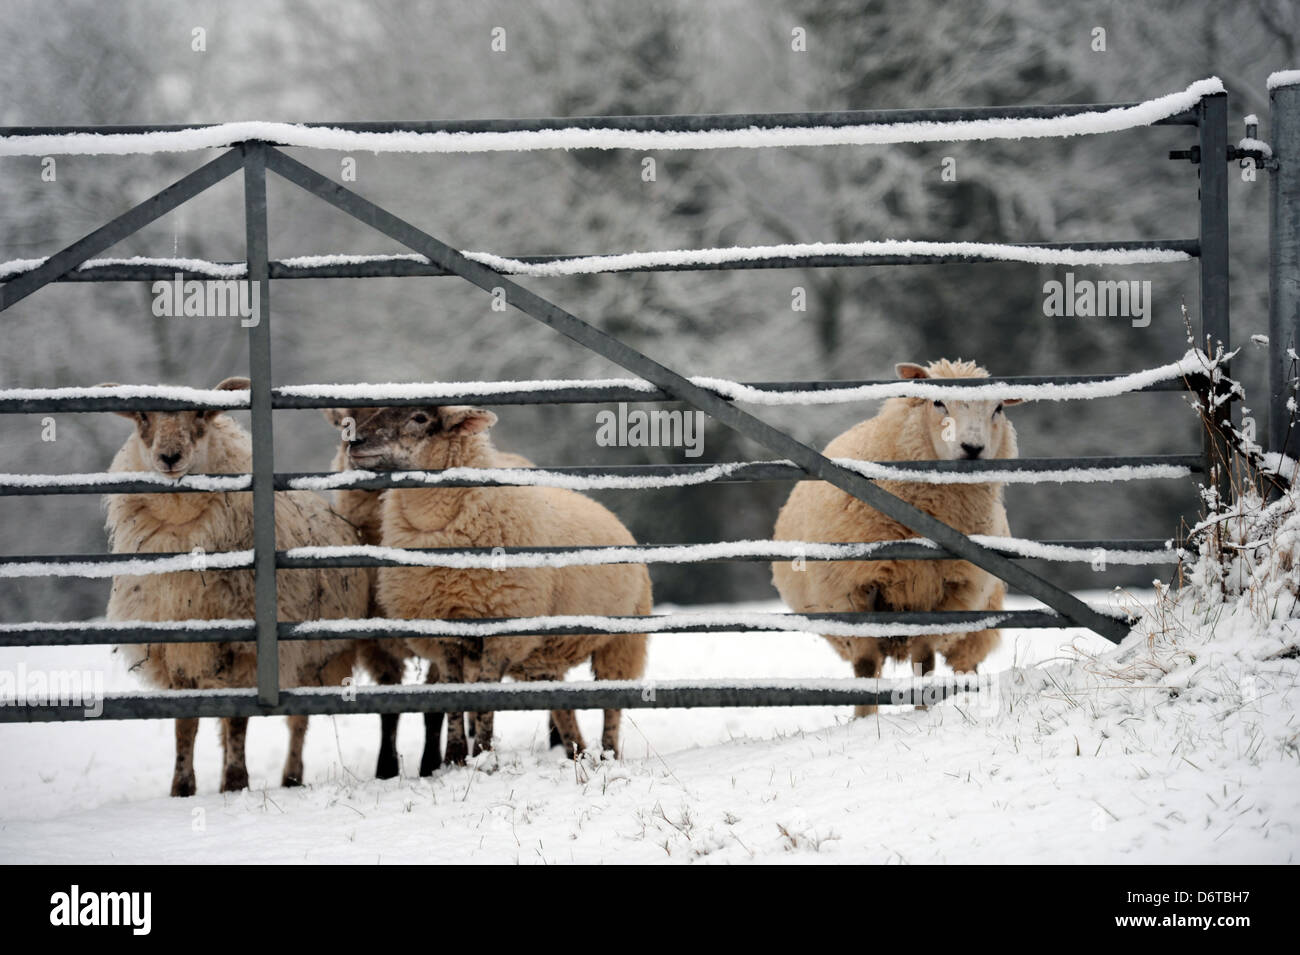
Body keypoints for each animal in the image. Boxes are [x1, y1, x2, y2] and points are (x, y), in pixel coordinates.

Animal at [103, 376, 369, 795]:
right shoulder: (178, 648)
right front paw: (182, 787)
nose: (169, 457)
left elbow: (240, 721)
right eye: (143, 416)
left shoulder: (248, 649)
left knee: (297, 722)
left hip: (315, 658)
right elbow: (186, 724)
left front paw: (234, 781)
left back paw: (291, 776)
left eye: (200, 413)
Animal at [343, 402, 655, 764]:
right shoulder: (444, 630)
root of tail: (607, 513)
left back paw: (607, 754)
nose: (355, 441)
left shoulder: (502, 630)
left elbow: (486, 696)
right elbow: (453, 696)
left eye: (420, 418)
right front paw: (454, 758)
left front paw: (483, 755)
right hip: (545, 653)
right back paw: (577, 752)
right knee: (562, 707)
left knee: (611, 703)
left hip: (622, 639)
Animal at [764, 361, 1019, 717]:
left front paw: (924, 711)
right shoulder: (853, 593)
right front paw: (864, 719)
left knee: (965, 665)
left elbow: (924, 663)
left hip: (977, 621)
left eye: (998, 409)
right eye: (937, 402)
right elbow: (866, 666)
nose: (972, 448)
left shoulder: (945, 598)